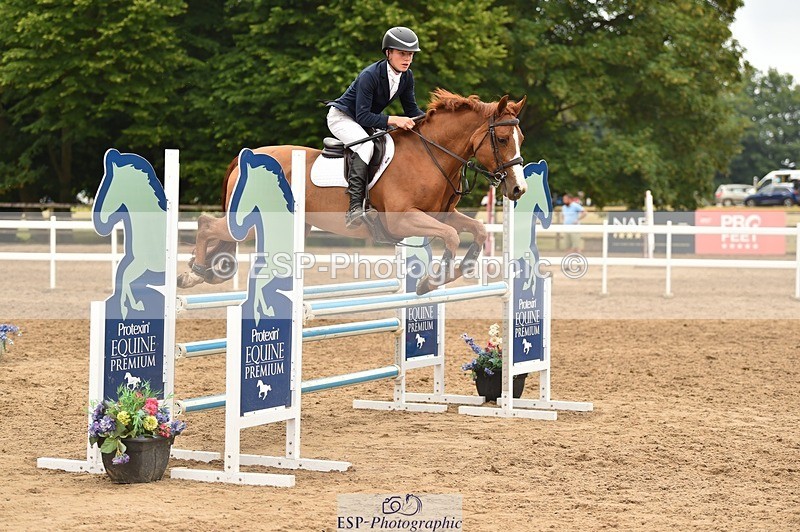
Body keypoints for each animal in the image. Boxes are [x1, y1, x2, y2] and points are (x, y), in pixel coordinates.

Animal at [177, 89, 528, 295]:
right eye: (501, 140)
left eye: (520, 138)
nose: (518, 188)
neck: (431, 155)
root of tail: (246, 156)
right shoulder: (402, 220)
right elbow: (453, 237)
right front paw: (431, 281)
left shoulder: (440, 215)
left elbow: (477, 230)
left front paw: (459, 269)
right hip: (254, 222)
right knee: (207, 225)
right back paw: (192, 274)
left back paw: (199, 272)